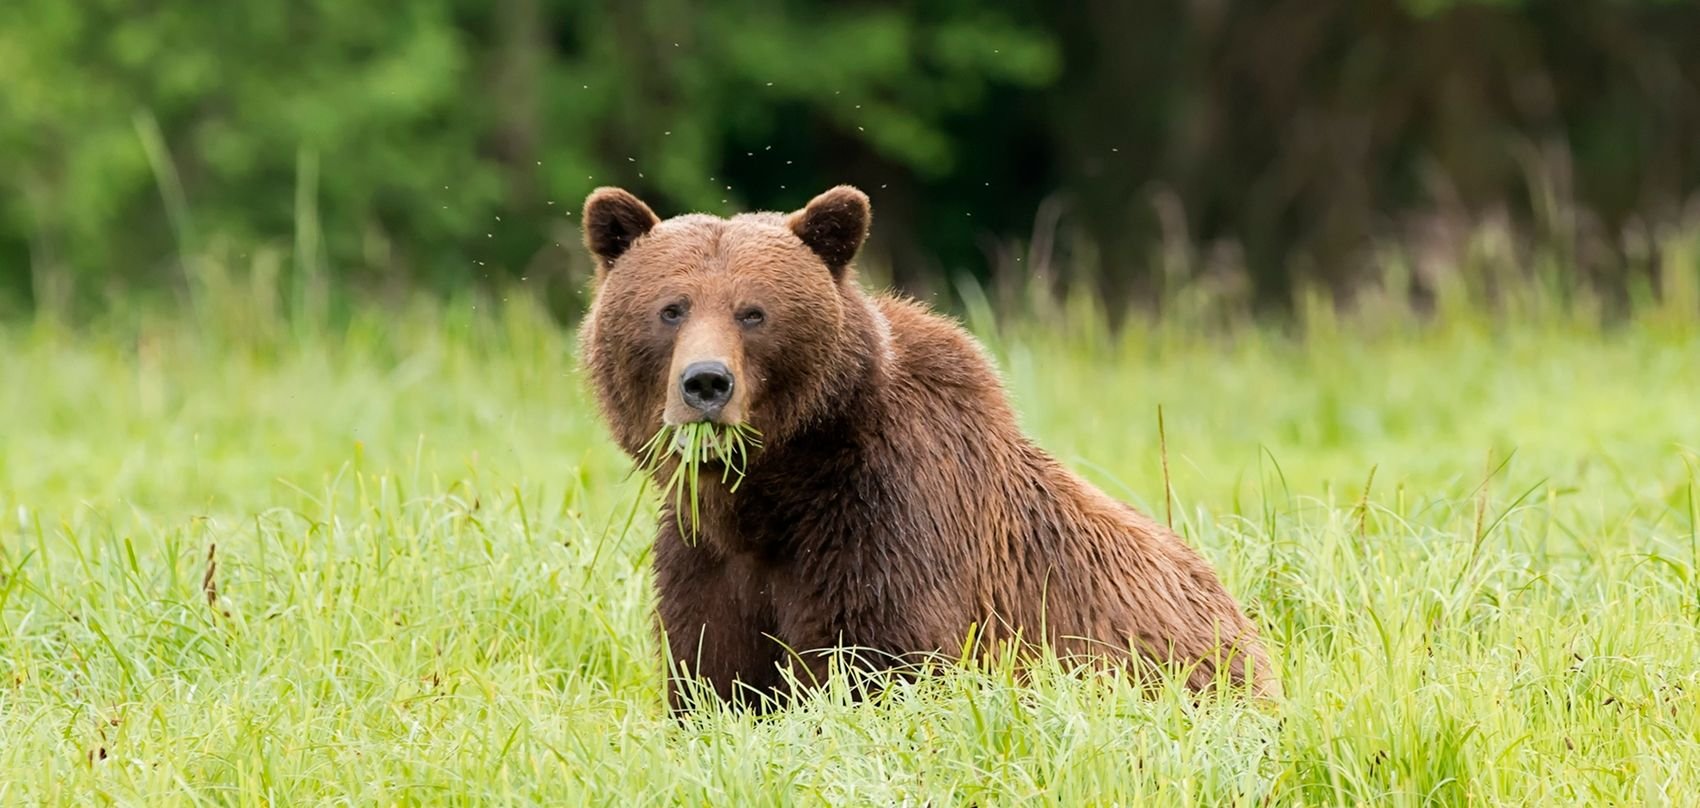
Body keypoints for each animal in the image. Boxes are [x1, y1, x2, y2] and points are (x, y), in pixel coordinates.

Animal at [577, 184, 1276, 712]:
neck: (775, 489)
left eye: (754, 313)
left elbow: (877, 662)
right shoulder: (707, 557)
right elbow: (712, 675)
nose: (705, 383)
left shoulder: (890, 519)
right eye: (672, 308)